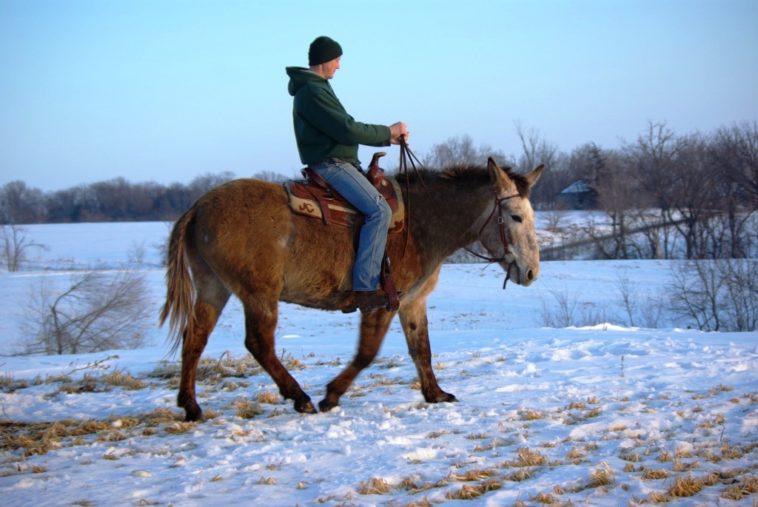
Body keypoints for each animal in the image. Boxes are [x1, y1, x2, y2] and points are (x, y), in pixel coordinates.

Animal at [161, 157, 544, 421]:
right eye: (515, 216)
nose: (531, 272)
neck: (421, 225)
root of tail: (199, 207)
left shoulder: (412, 303)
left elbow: (421, 349)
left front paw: (435, 394)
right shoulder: (382, 303)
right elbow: (366, 354)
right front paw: (331, 395)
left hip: (213, 287)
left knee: (195, 338)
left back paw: (191, 406)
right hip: (259, 294)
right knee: (258, 343)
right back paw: (299, 396)